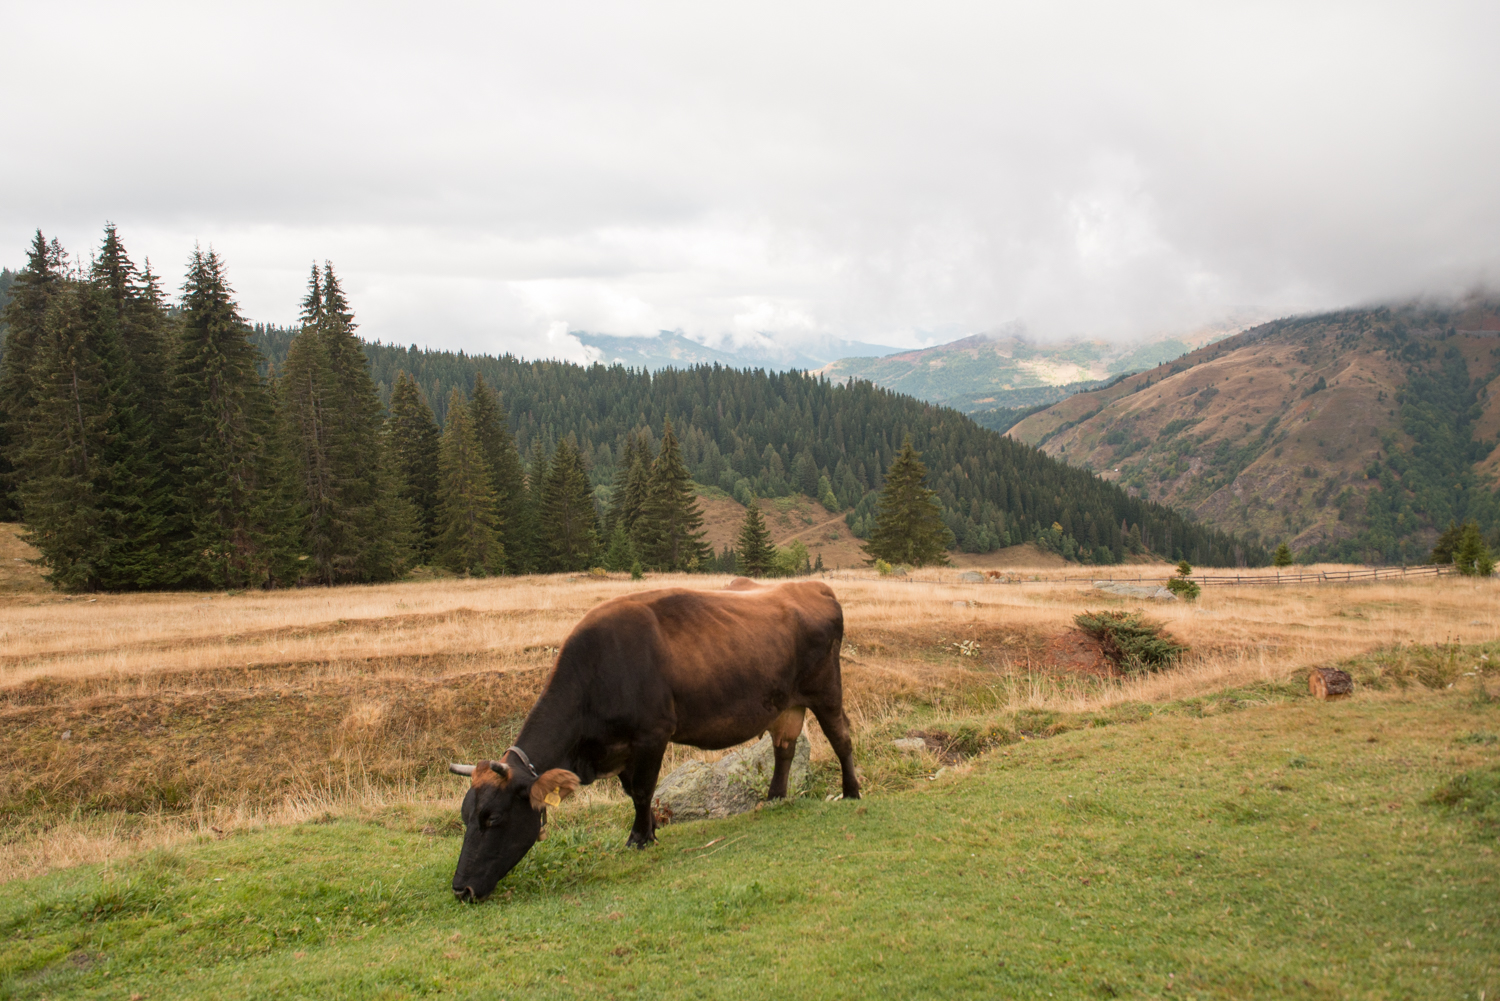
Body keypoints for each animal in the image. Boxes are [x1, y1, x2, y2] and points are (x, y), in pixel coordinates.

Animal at [447, 579, 858, 900]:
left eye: (493, 818)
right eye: (466, 815)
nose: (461, 889)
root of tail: (811, 586)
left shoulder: (652, 735)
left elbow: (644, 790)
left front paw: (639, 838)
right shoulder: (621, 749)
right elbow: (633, 792)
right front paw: (651, 829)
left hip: (827, 690)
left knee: (841, 738)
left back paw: (851, 792)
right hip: (786, 704)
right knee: (784, 748)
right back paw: (774, 799)